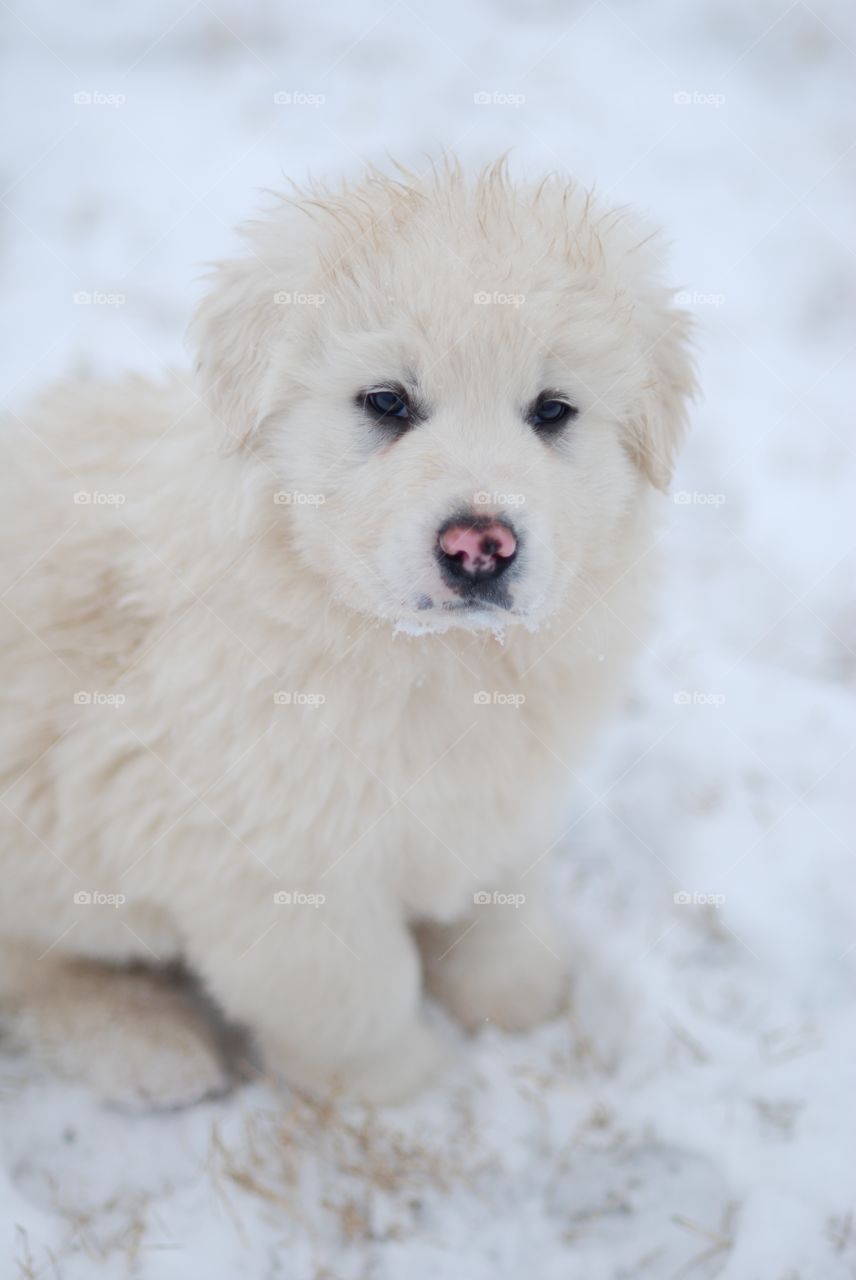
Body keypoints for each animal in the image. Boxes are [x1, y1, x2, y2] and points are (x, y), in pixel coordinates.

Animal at [0, 157, 696, 1100]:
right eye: (387, 402)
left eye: (553, 411)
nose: (480, 546)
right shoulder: (276, 867)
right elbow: (357, 993)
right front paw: (408, 1086)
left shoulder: (501, 795)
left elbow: (496, 902)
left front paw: (519, 997)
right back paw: (145, 1040)